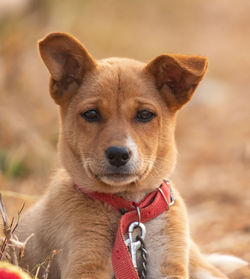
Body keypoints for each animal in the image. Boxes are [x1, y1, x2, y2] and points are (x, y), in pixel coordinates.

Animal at [17, 31, 246, 278]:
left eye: (145, 114)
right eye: (91, 114)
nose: (118, 155)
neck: (130, 208)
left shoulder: (169, 264)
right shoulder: (86, 264)